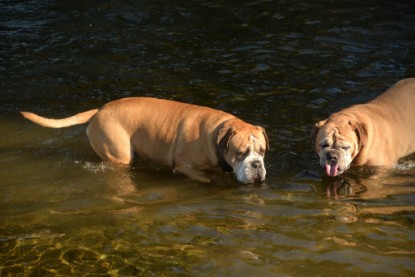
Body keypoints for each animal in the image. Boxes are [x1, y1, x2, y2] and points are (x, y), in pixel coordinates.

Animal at [20, 97, 270, 183]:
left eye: (262, 151)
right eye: (240, 153)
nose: (256, 165)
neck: (218, 134)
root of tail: (98, 111)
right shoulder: (184, 166)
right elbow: (206, 179)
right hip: (119, 154)